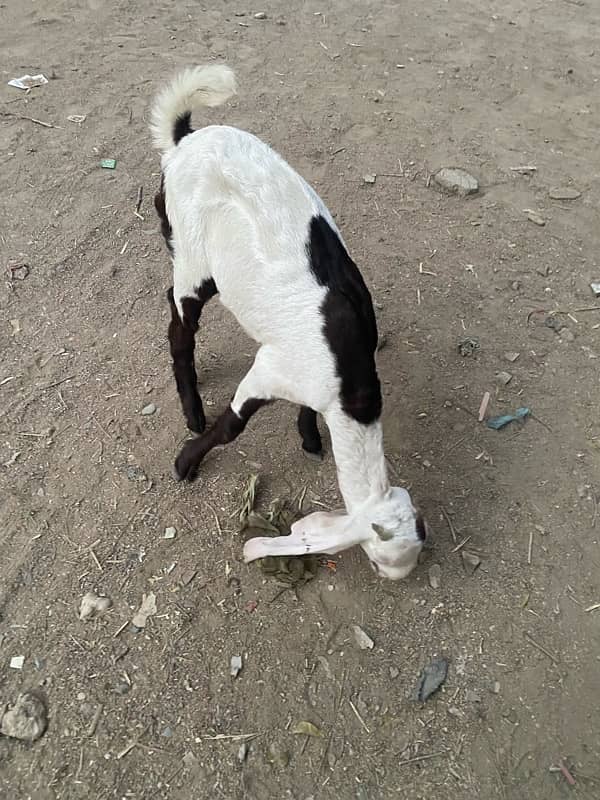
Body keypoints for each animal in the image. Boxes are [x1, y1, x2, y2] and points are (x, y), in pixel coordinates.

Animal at [150, 65, 426, 580]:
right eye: (379, 563)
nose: (396, 579)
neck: (349, 387)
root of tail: (183, 141)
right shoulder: (269, 371)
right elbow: (232, 426)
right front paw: (186, 462)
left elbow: (305, 411)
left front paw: (309, 437)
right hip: (193, 257)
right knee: (180, 328)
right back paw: (193, 413)